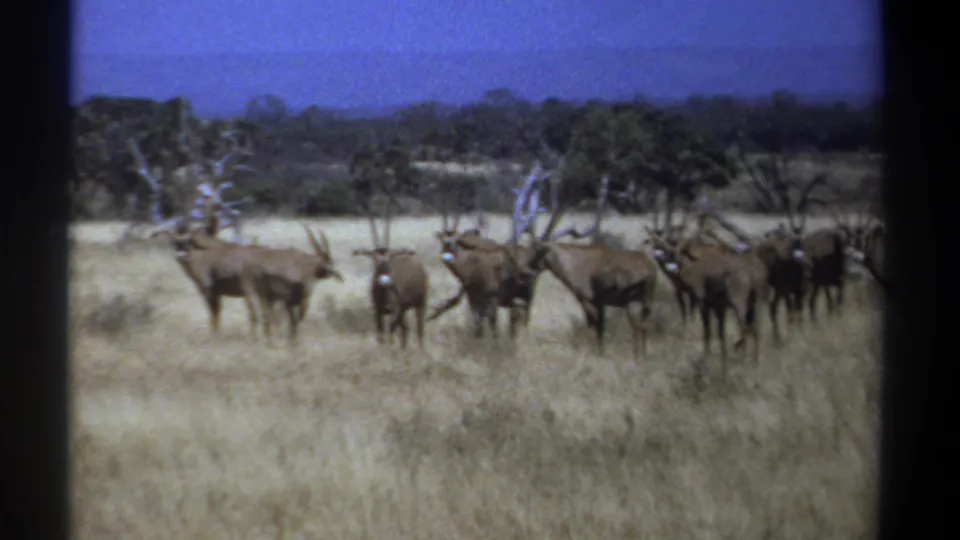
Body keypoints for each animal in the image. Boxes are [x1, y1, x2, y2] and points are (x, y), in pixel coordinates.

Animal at [352, 198, 429, 349]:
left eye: (390, 257)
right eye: (374, 258)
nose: (385, 280)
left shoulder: (395, 311)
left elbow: (390, 333)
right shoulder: (378, 312)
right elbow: (381, 335)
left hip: (420, 304)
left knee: (419, 329)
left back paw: (421, 349)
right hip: (404, 310)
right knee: (405, 329)